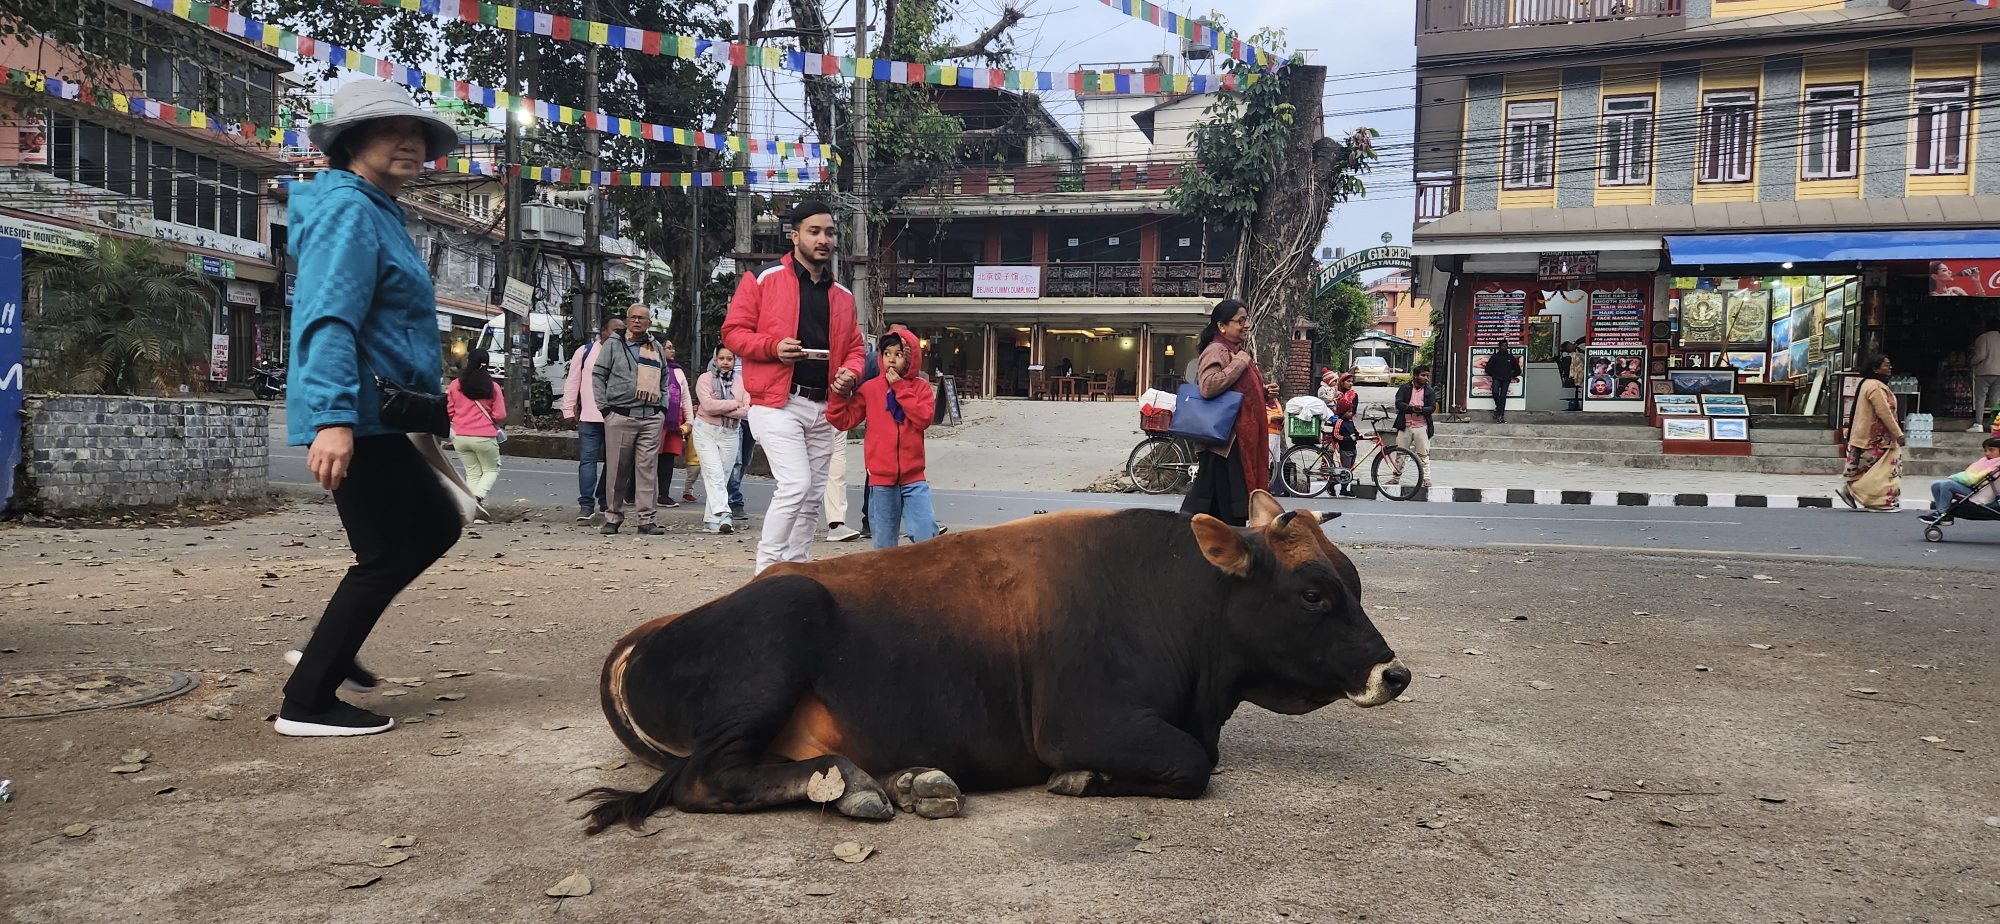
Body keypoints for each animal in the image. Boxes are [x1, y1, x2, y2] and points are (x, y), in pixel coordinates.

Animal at [584, 488, 1408, 832]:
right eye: (1312, 593)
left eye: (1356, 584)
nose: (1392, 672)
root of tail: (654, 632)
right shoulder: (1080, 723)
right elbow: (1191, 764)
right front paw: (1083, 780)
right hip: (782, 627)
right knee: (703, 782)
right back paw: (863, 786)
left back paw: (905, 781)